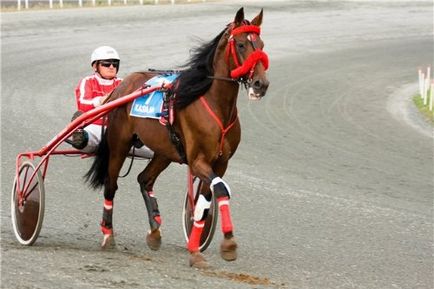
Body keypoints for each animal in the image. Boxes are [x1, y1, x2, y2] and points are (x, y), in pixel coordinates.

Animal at [84, 7, 268, 268]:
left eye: (261, 44)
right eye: (241, 44)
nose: (261, 84)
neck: (213, 103)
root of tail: (120, 87)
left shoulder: (220, 162)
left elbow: (204, 202)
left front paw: (196, 248)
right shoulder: (197, 160)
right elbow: (222, 191)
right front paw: (228, 244)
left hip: (164, 151)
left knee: (144, 179)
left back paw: (154, 232)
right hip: (119, 144)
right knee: (111, 185)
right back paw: (108, 236)